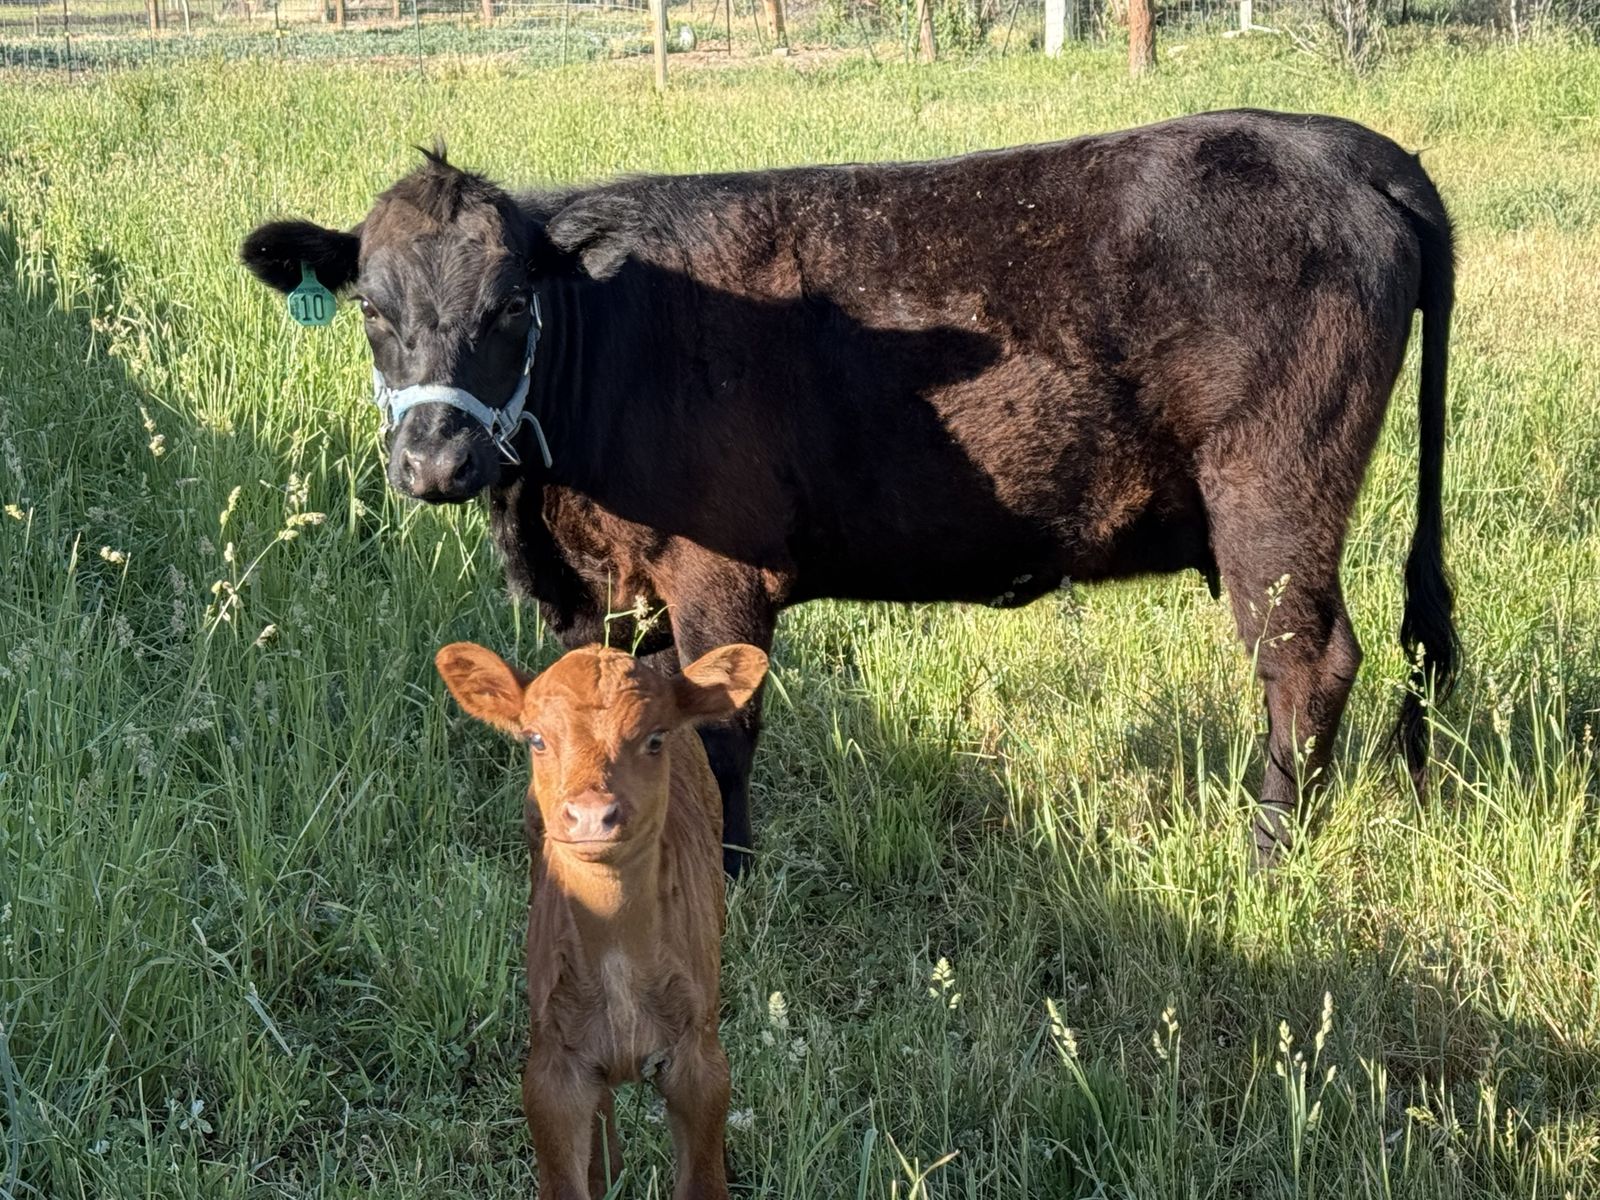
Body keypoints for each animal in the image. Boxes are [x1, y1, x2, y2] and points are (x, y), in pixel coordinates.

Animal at [243, 109, 1459, 873]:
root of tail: (1332, 140)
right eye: (371, 310)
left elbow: (720, 733)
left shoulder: (720, 577)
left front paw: (726, 880)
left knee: (1306, 664)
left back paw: (1268, 851)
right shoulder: (606, 591)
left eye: (508, 307)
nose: (434, 461)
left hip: (1273, 493)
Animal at [435, 639, 768, 1199]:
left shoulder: (700, 1059)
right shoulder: (551, 1069)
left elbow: (703, 1178)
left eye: (654, 738)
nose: (592, 814)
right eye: (537, 739)